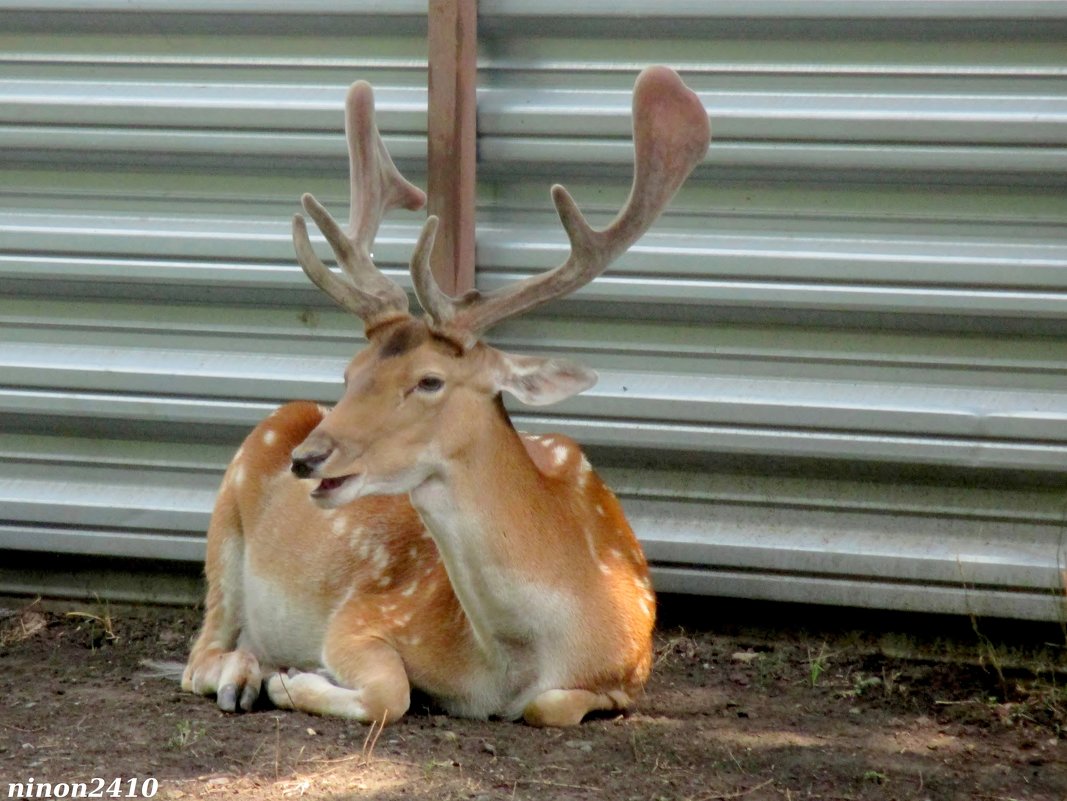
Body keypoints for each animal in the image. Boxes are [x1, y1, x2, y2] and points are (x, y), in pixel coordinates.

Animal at [180, 64, 712, 725]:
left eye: (429, 380)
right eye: (350, 371)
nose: (306, 458)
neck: (515, 662)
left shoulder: (631, 671)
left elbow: (552, 706)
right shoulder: (365, 614)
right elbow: (393, 693)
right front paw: (294, 680)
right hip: (225, 524)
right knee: (200, 654)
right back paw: (245, 675)